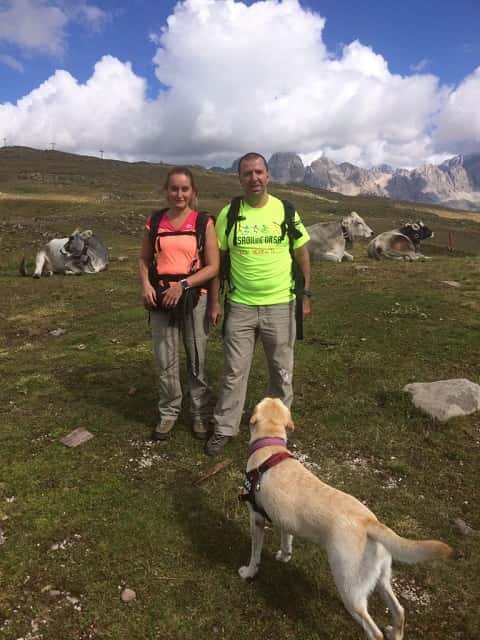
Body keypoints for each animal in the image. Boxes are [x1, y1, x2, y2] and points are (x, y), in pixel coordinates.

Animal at [238, 398, 452, 636]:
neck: (270, 445)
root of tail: (371, 523)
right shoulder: (284, 520)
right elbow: (287, 539)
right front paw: (284, 556)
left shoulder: (256, 518)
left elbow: (255, 553)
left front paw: (249, 572)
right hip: (381, 579)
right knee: (400, 611)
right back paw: (395, 632)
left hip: (350, 590)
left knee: (374, 631)